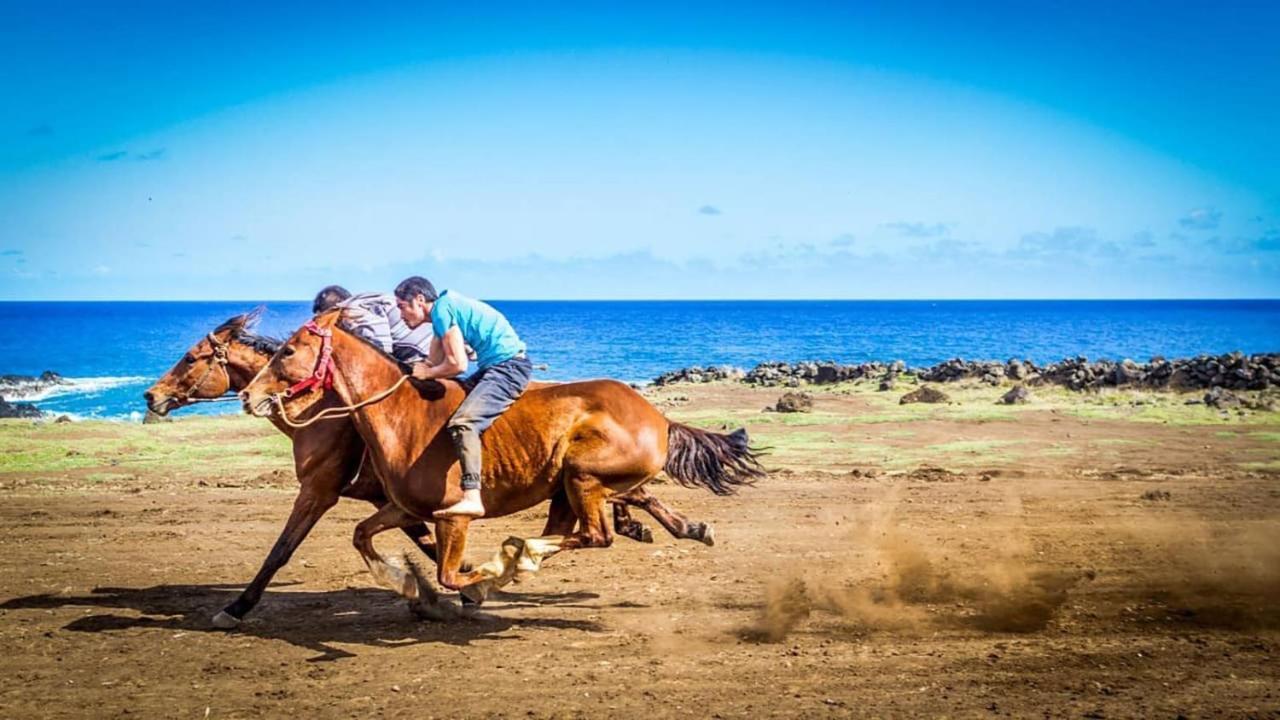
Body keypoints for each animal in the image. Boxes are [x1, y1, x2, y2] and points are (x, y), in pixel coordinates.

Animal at [144, 311, 721, 625]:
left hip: (580, 478)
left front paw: (236, 608)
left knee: (593, 530)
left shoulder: (327, 492)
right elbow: (375, 539)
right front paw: (419, 588)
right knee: (594, 519)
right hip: (569, 486)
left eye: (193, 358)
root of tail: (657, 416)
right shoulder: (397, 504)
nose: (151, 396)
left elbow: (282, 551)